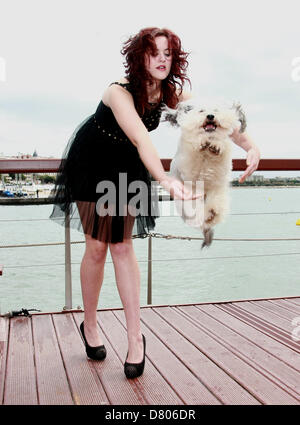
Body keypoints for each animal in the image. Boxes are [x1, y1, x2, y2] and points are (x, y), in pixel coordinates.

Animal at [164, 102, 246, 248]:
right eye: (201, 111)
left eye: (216, 110)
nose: (210, 116)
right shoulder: (190, 170)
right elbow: (196, 146)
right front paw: (201, 143)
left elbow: (220, 146)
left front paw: (216, 147)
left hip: (216, 196)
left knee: (213, 207)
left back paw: (211, 213)